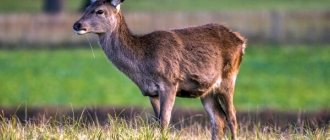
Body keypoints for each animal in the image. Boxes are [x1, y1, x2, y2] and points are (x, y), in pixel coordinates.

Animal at [73, 0, 246, 139]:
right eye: (87, 7)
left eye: (100, 11)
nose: (76, 25)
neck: (143, 64)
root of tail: (241, 41)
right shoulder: (151, 92)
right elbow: (157, 122)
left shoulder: (170, 83)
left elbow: (164, 121)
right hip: (206, 90)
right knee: (218, 118)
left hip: (229, 77)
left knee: (232, 117)